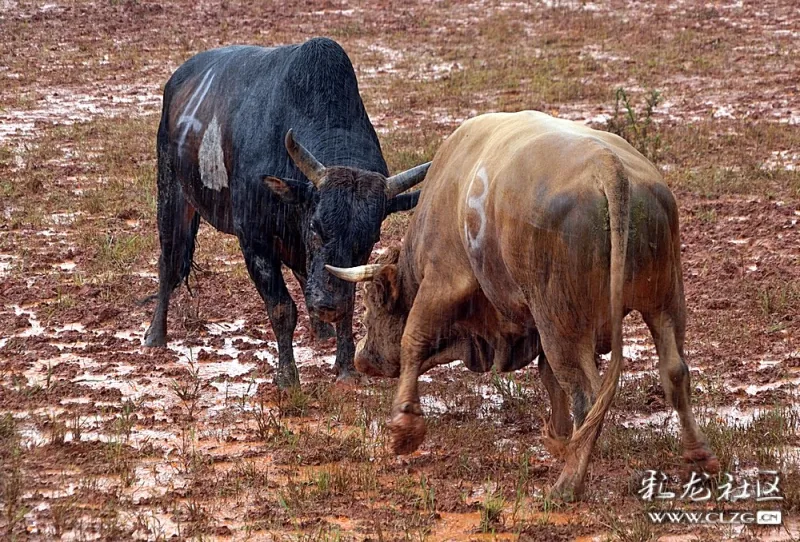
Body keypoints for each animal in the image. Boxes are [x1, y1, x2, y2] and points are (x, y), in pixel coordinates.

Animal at [144, 36, 432, 388]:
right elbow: (282, 308)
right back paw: (155, 335)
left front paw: (345, 366)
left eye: (370, 238)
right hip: (172, 197)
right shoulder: (255, 242)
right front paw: (286, 375)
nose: (327, 304)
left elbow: (346, 304)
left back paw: (321, 330)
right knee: (168, 263)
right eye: (315, 227)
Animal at [326, 110, 720, 502]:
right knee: (673, 372)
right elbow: (548, 377)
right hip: (663, 301)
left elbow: (413, 341)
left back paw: (569, 483)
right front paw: (559, 438)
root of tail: (609, 167)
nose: (362, 357)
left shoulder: (442, 281)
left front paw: (404, 428)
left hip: (562, 318)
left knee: (587, 393)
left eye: (371, 304)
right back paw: (698, 457)